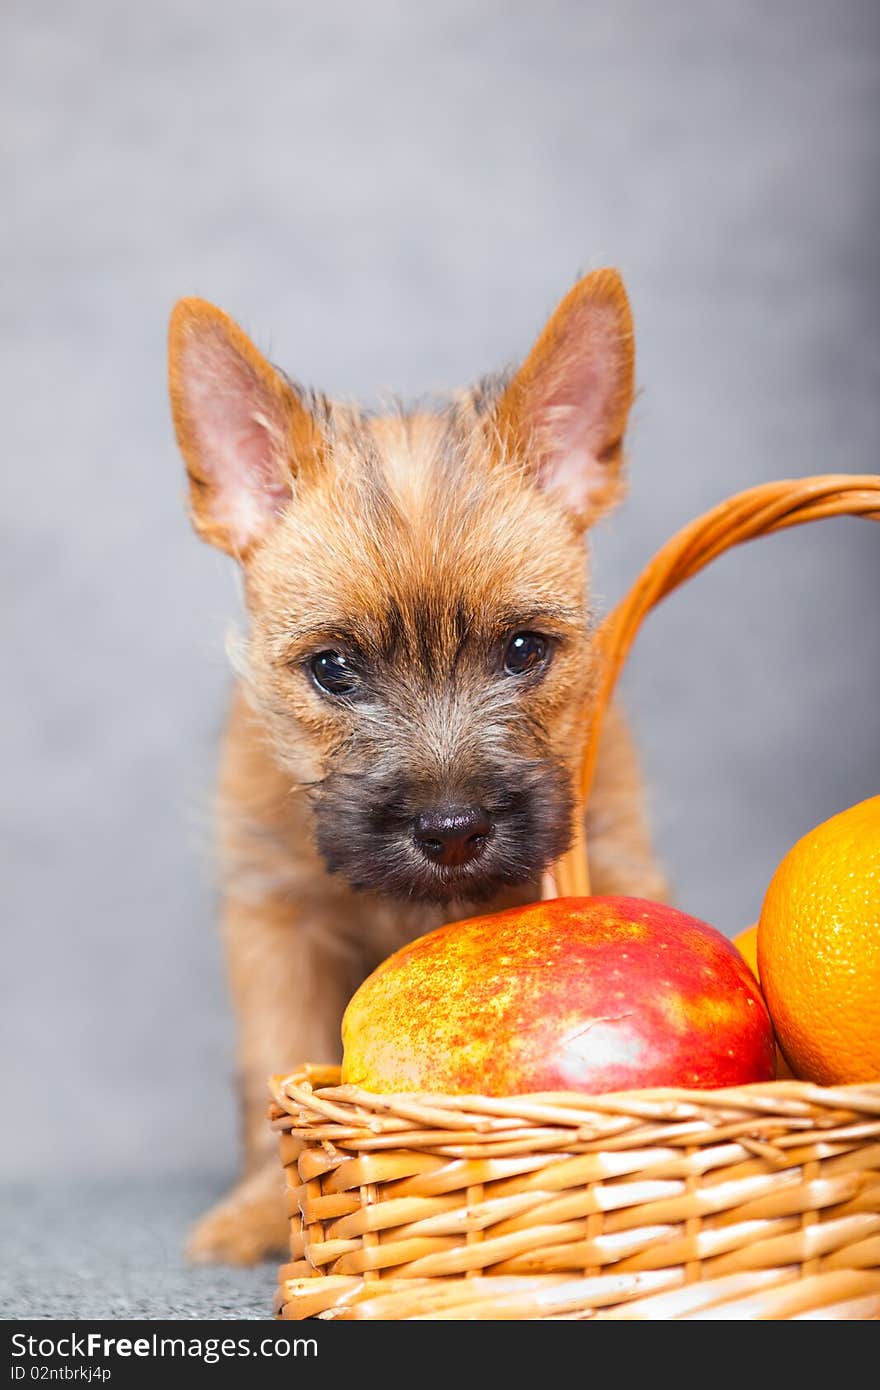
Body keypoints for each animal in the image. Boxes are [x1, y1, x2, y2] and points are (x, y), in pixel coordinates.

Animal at [168, 265, 670, 1267]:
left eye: (523, 650)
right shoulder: (275, 926)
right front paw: (259, 1214)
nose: (451, 832)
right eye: (332, 668)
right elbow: (276, 1060)